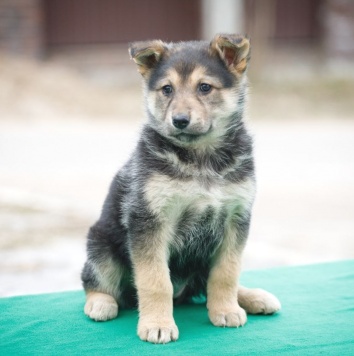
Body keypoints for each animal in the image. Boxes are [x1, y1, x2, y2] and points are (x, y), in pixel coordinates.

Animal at [81, 34, 280, 344]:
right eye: (167, 89)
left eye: (205, 87)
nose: (180, 120)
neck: (202, 159)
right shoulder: (150, 220)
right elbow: (155, 280)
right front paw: (157, 324)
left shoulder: (236, 218)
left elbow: (227, 273)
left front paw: (225, 310)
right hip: (101, 248)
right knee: (95, 282)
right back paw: (101, 303)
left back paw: (253, 298)